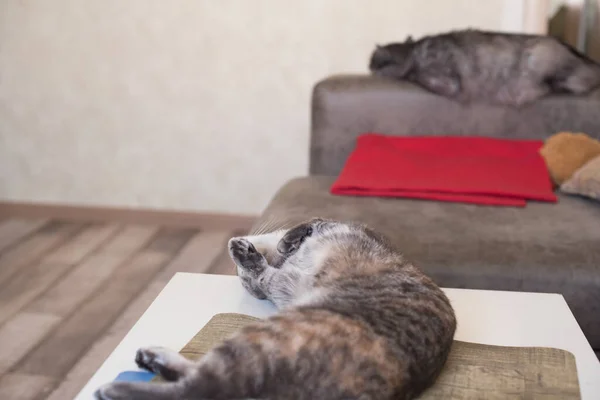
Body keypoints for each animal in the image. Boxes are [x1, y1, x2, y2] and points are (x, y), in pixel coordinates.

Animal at [96, 219, 458, 400]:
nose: (237, 248)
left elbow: (283, 250)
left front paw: (258, 251)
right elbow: (270, 269)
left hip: (264, 337)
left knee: (204, 388)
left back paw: (112, 388)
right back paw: (147, 360)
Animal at [368, 28, 600, 106]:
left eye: (374, 63)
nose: (370, 70)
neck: (415, 49)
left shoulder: (446, 80)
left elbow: (414, 74)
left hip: (539, 55)